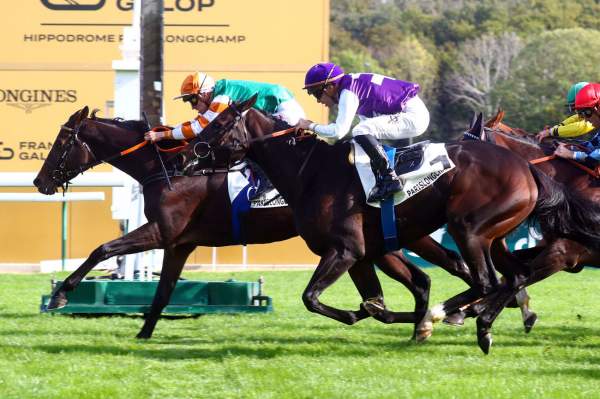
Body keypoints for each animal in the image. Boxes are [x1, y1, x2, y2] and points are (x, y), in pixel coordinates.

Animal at [34, 107, 474, 340]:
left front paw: (60, 296)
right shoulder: (179, 243)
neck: (168, 168)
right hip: (387, 243)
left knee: (450, 268)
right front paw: (143, 334)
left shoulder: (163, 232)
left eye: (62, 142)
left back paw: (449, 314)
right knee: (428, 277)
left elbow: (102, 249)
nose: (39, 182)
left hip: (396, 239)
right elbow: (161, 293)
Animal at [179, 97, 600, 354]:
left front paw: (361, 315)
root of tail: (526, 167)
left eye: (220, 122)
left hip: (468, 230)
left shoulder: (345, 250)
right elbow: (372, 301)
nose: (187, 154)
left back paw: (450, 318)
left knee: (486, 281)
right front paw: (379, 313)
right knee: (512, 277)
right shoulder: (363, 254)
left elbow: (311, 297)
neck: (311, 172)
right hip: (493, 237)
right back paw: (476, 320)